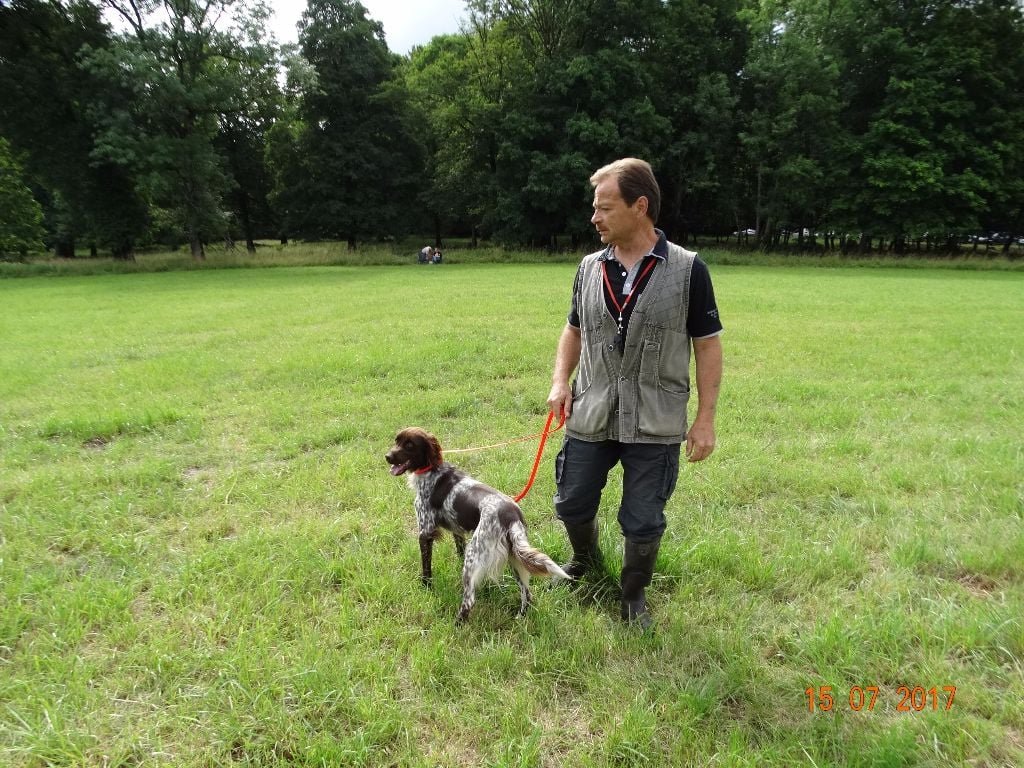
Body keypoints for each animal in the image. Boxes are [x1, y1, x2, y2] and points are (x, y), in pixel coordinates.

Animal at [385, 427, 570, 622]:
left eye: (409, 444)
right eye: (396, 440)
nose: (387, 456)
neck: (432, 470)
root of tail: (511, 515)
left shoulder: (425, 531)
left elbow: (426, 567)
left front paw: (426, 586)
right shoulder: (457, 530)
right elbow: (458, 550)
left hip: (475, 554)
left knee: (469, 600)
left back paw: (457, 624)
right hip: (514, 557)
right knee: (527, 593)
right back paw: (520, 618)